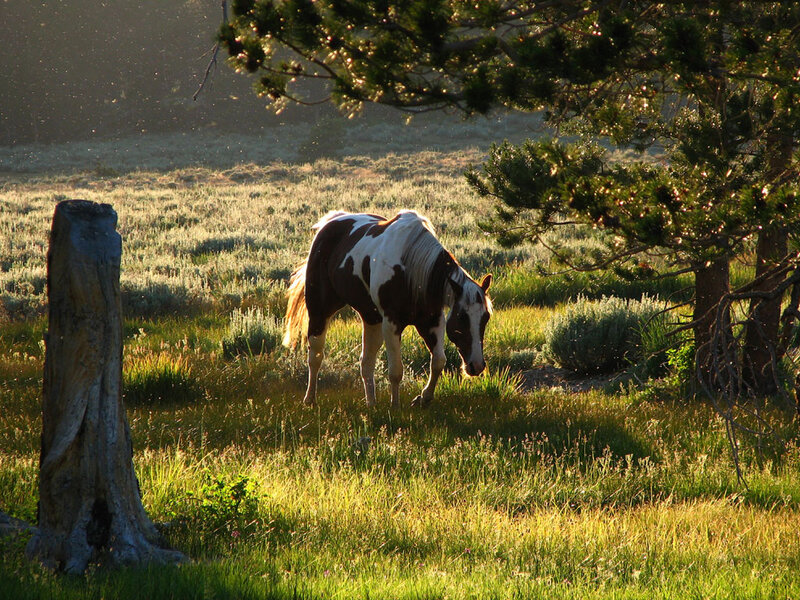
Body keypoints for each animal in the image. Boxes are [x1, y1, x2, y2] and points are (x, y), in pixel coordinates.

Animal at [283, 210, 493, 407]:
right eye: (462, 317)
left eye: (485, 318)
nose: (476, 365)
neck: (412, 273)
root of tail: (331, 222)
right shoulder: (392, 324)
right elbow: (396, 371)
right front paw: (395, 406)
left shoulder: (432, 321)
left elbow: (438, 361)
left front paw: (423, 398)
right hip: (319, 311)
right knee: (315, 356)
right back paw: (310, 399)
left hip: (371, 318)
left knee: (366, 361)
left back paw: (371, 403)